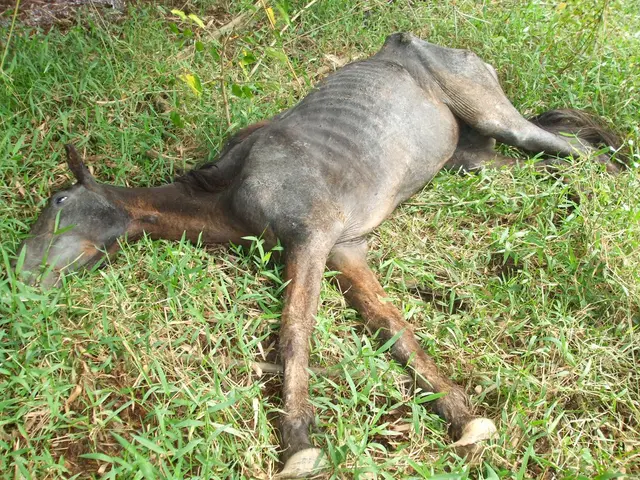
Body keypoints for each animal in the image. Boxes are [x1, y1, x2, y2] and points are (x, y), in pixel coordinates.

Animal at [16, 32, 624, 476]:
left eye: (59, 199)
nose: (22, 278)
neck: (232, 190)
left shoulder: (310, 240)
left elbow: (294, 333)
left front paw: (298, 442)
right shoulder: (344, 252)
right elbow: (392, 329)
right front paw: (461, 416)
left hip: (500, 121)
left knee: (582, 152)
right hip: (475, 159)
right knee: (556, 163)